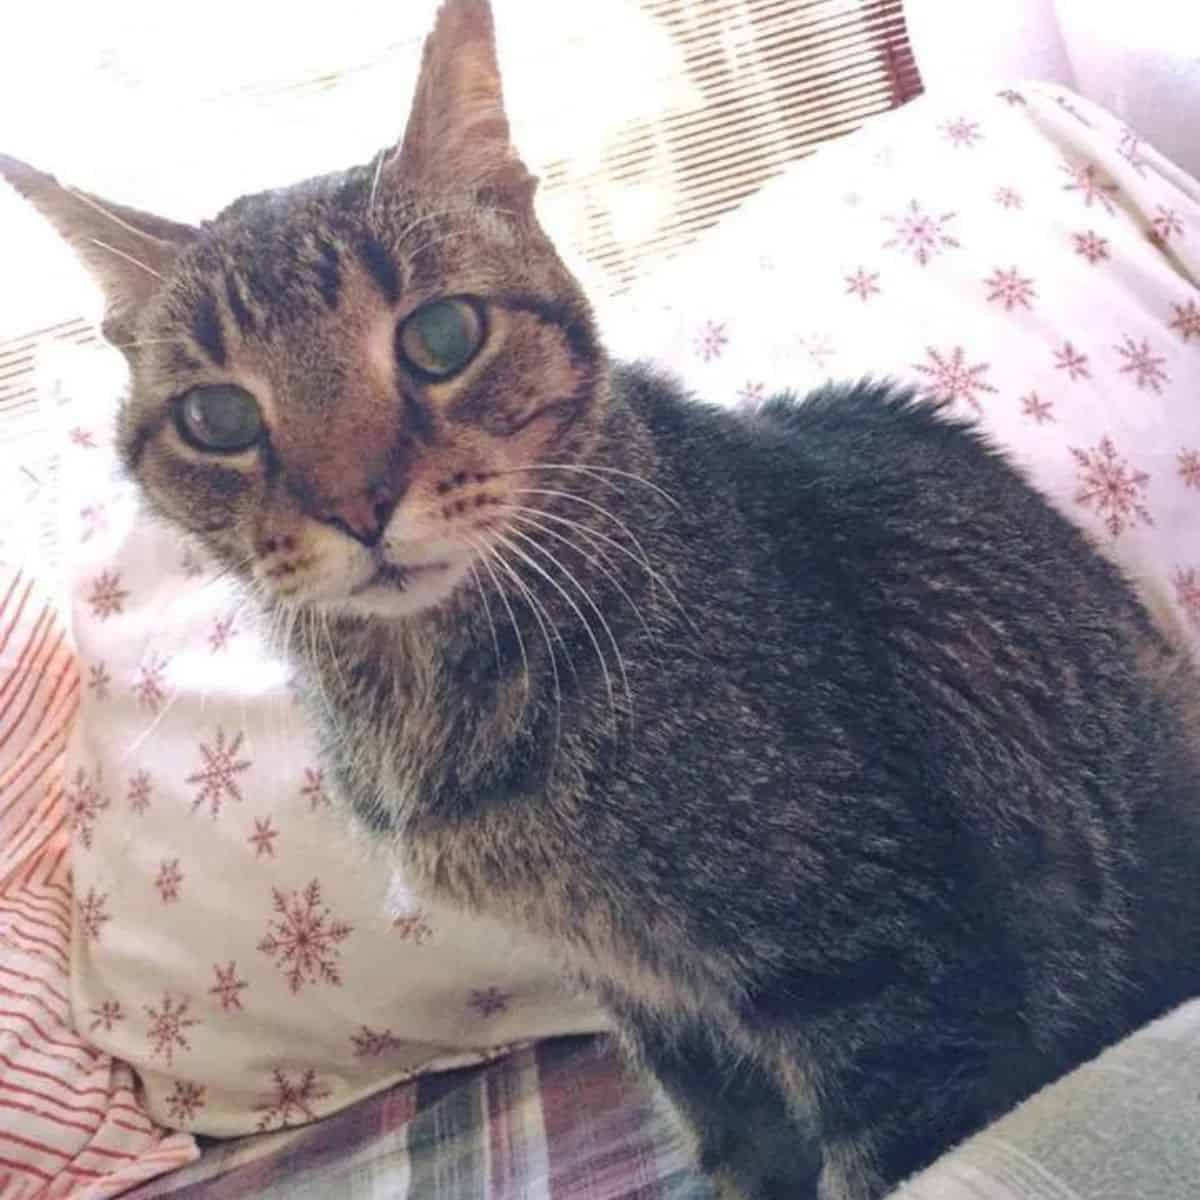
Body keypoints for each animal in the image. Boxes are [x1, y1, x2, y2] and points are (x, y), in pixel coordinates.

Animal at [2, 2, 1200, 1200]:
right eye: (216, 418)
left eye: (441, 337)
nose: (356, 505)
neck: (433, 695)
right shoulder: (652, 1003)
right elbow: (736, 1148)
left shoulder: (889, 980)